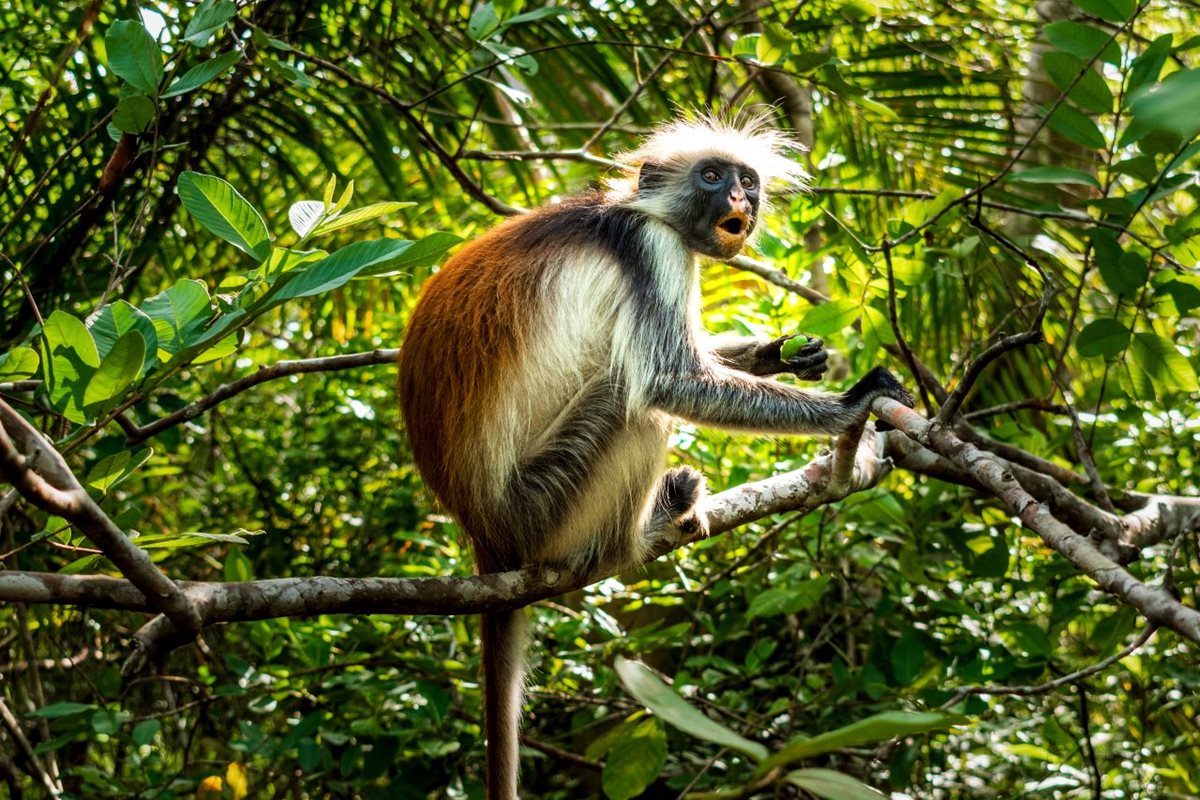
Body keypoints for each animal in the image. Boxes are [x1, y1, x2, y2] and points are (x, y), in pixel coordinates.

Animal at [398, 115, 912, 796]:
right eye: (713, 176)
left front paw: (783, 352)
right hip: (543, 505)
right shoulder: (651, 251)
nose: (740, 199)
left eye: (747, 180)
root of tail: (483, 530)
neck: (634, 211)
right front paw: (851, 405)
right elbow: (668, 381)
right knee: (631, 399)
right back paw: (642, 531)